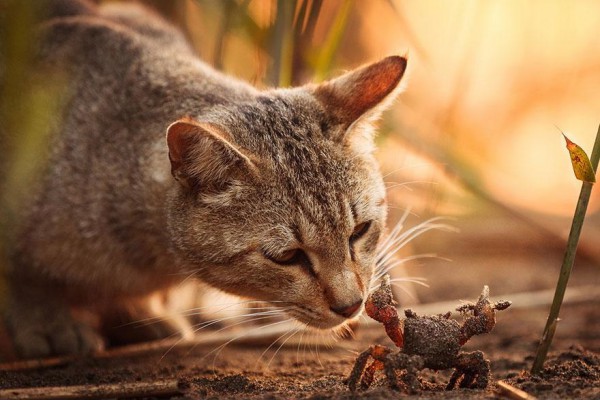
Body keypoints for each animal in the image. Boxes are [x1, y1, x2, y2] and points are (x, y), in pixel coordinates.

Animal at [2, 0, 406, 360]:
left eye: (360, 231)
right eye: (287, 256)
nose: (351, 305)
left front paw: (136, 312)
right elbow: (23, 279)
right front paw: (47, 322)